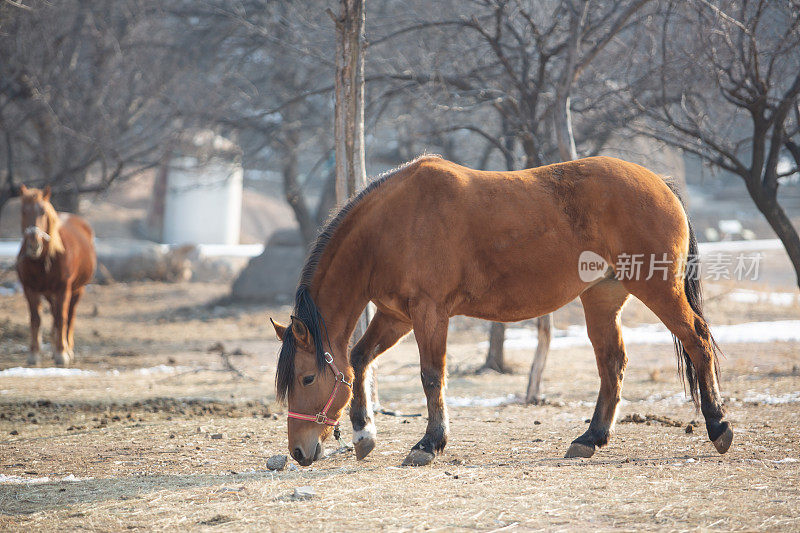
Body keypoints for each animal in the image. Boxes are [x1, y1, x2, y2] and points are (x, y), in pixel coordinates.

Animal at [15, 186, 95, 366]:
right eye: (23, 211)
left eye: (43, 212)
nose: (34, 245)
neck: (43, 260)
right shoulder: (30, 289)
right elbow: (36, 319)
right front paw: (34, 354)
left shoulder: (63, 289)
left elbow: (61, 318)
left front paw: (62, 354)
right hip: (49, 293)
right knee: (54, 314)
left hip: (77, 290)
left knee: (70, 316)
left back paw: (67, 348)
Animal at [272, 155, 736, 466]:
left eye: (307, 377)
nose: (299, 450)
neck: (392, 226)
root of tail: (661, 184)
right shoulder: (396, 316)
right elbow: (357, 359)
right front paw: (364, 432)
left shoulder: (428, 314)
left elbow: (430, 376)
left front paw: (429, 444)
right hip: (603, 298)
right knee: (612, 363)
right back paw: (590, 438)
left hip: (657, 289)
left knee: (696, 341)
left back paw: (718, 426)